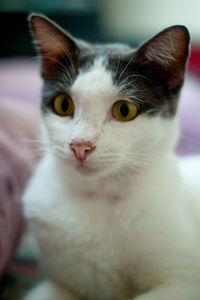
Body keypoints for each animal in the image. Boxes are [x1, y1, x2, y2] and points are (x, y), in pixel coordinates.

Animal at [22, 12, 200, 298]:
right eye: (63, 104)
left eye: (124, 110)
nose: (80, 145)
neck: (101, 195)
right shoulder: (59, 281)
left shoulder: (184, 282)